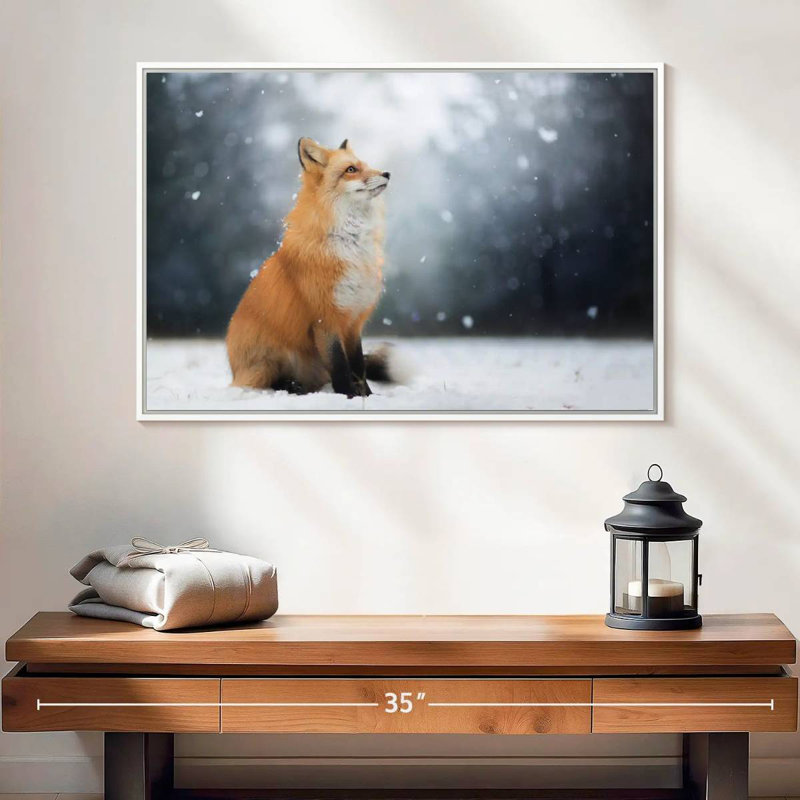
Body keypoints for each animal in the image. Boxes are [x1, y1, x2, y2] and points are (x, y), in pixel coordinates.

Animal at [226, 137, 400, 398]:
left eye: (365, 165)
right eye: (351, 169)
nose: (387, 173)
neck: (350, 244)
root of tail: (234, 370)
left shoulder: (353, 320)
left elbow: (358, 366)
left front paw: (367, 397)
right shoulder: (324, 319)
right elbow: (340, 367)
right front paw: (347, 397)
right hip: (268, 363)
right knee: (268, 382)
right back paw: (291, 387)